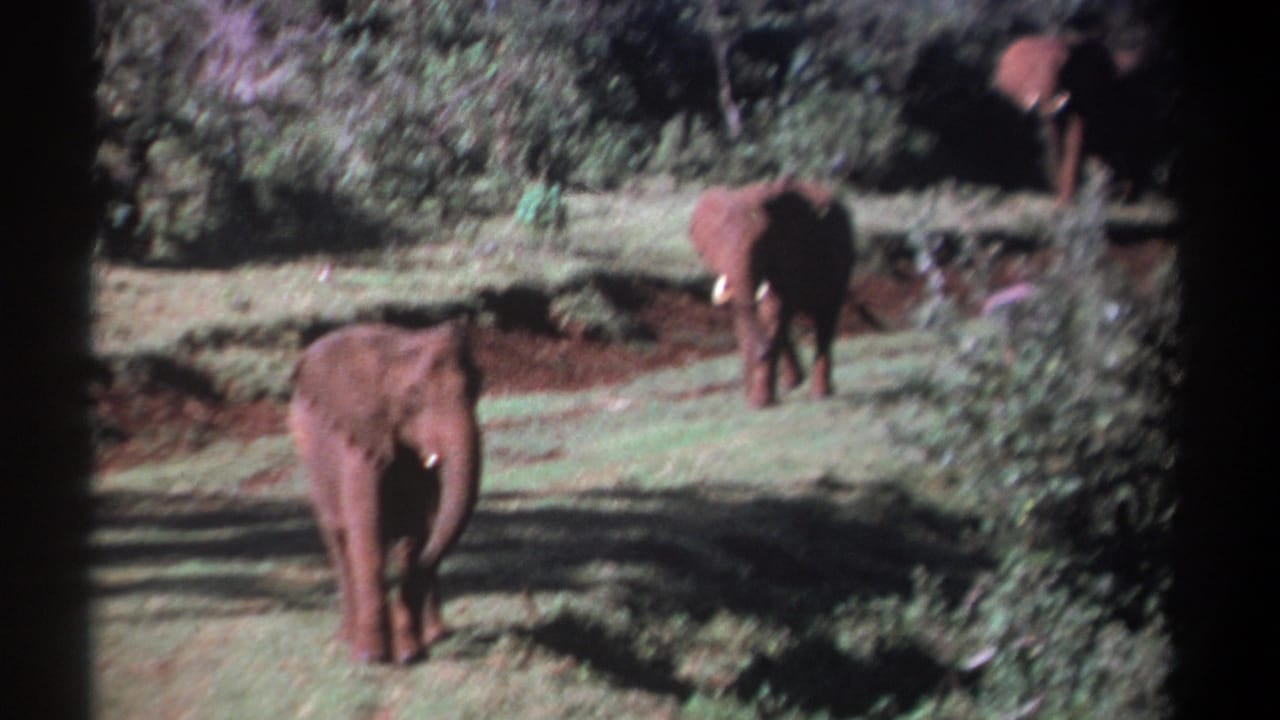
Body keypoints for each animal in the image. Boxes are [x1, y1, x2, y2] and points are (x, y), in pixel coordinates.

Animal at [288, 320, 483, 664]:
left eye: (477, 388)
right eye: (413, 396)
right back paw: (346, 639)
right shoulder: (359, 440)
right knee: (339, 541)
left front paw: (409, 654)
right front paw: (372, 658)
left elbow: (414, 534)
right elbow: (367, 533)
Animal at [688, 177, 856, 408]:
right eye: (718, 242)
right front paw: (754, 397)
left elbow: (775, 307)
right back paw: (793, 383)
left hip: (844, 264)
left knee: (826, 319)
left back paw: (819, 393)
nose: (762, 350)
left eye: (762, 244)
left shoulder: (792, 253)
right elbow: (745, 314)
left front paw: (759, 403)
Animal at [992, 31, 1143, 205]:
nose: (1063, 95)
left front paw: (1066, 202)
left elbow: (1075, 135)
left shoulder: (1086, 89)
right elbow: (1054, 136)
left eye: (1063, 69)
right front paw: (1060, 201)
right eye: (1030, 70)